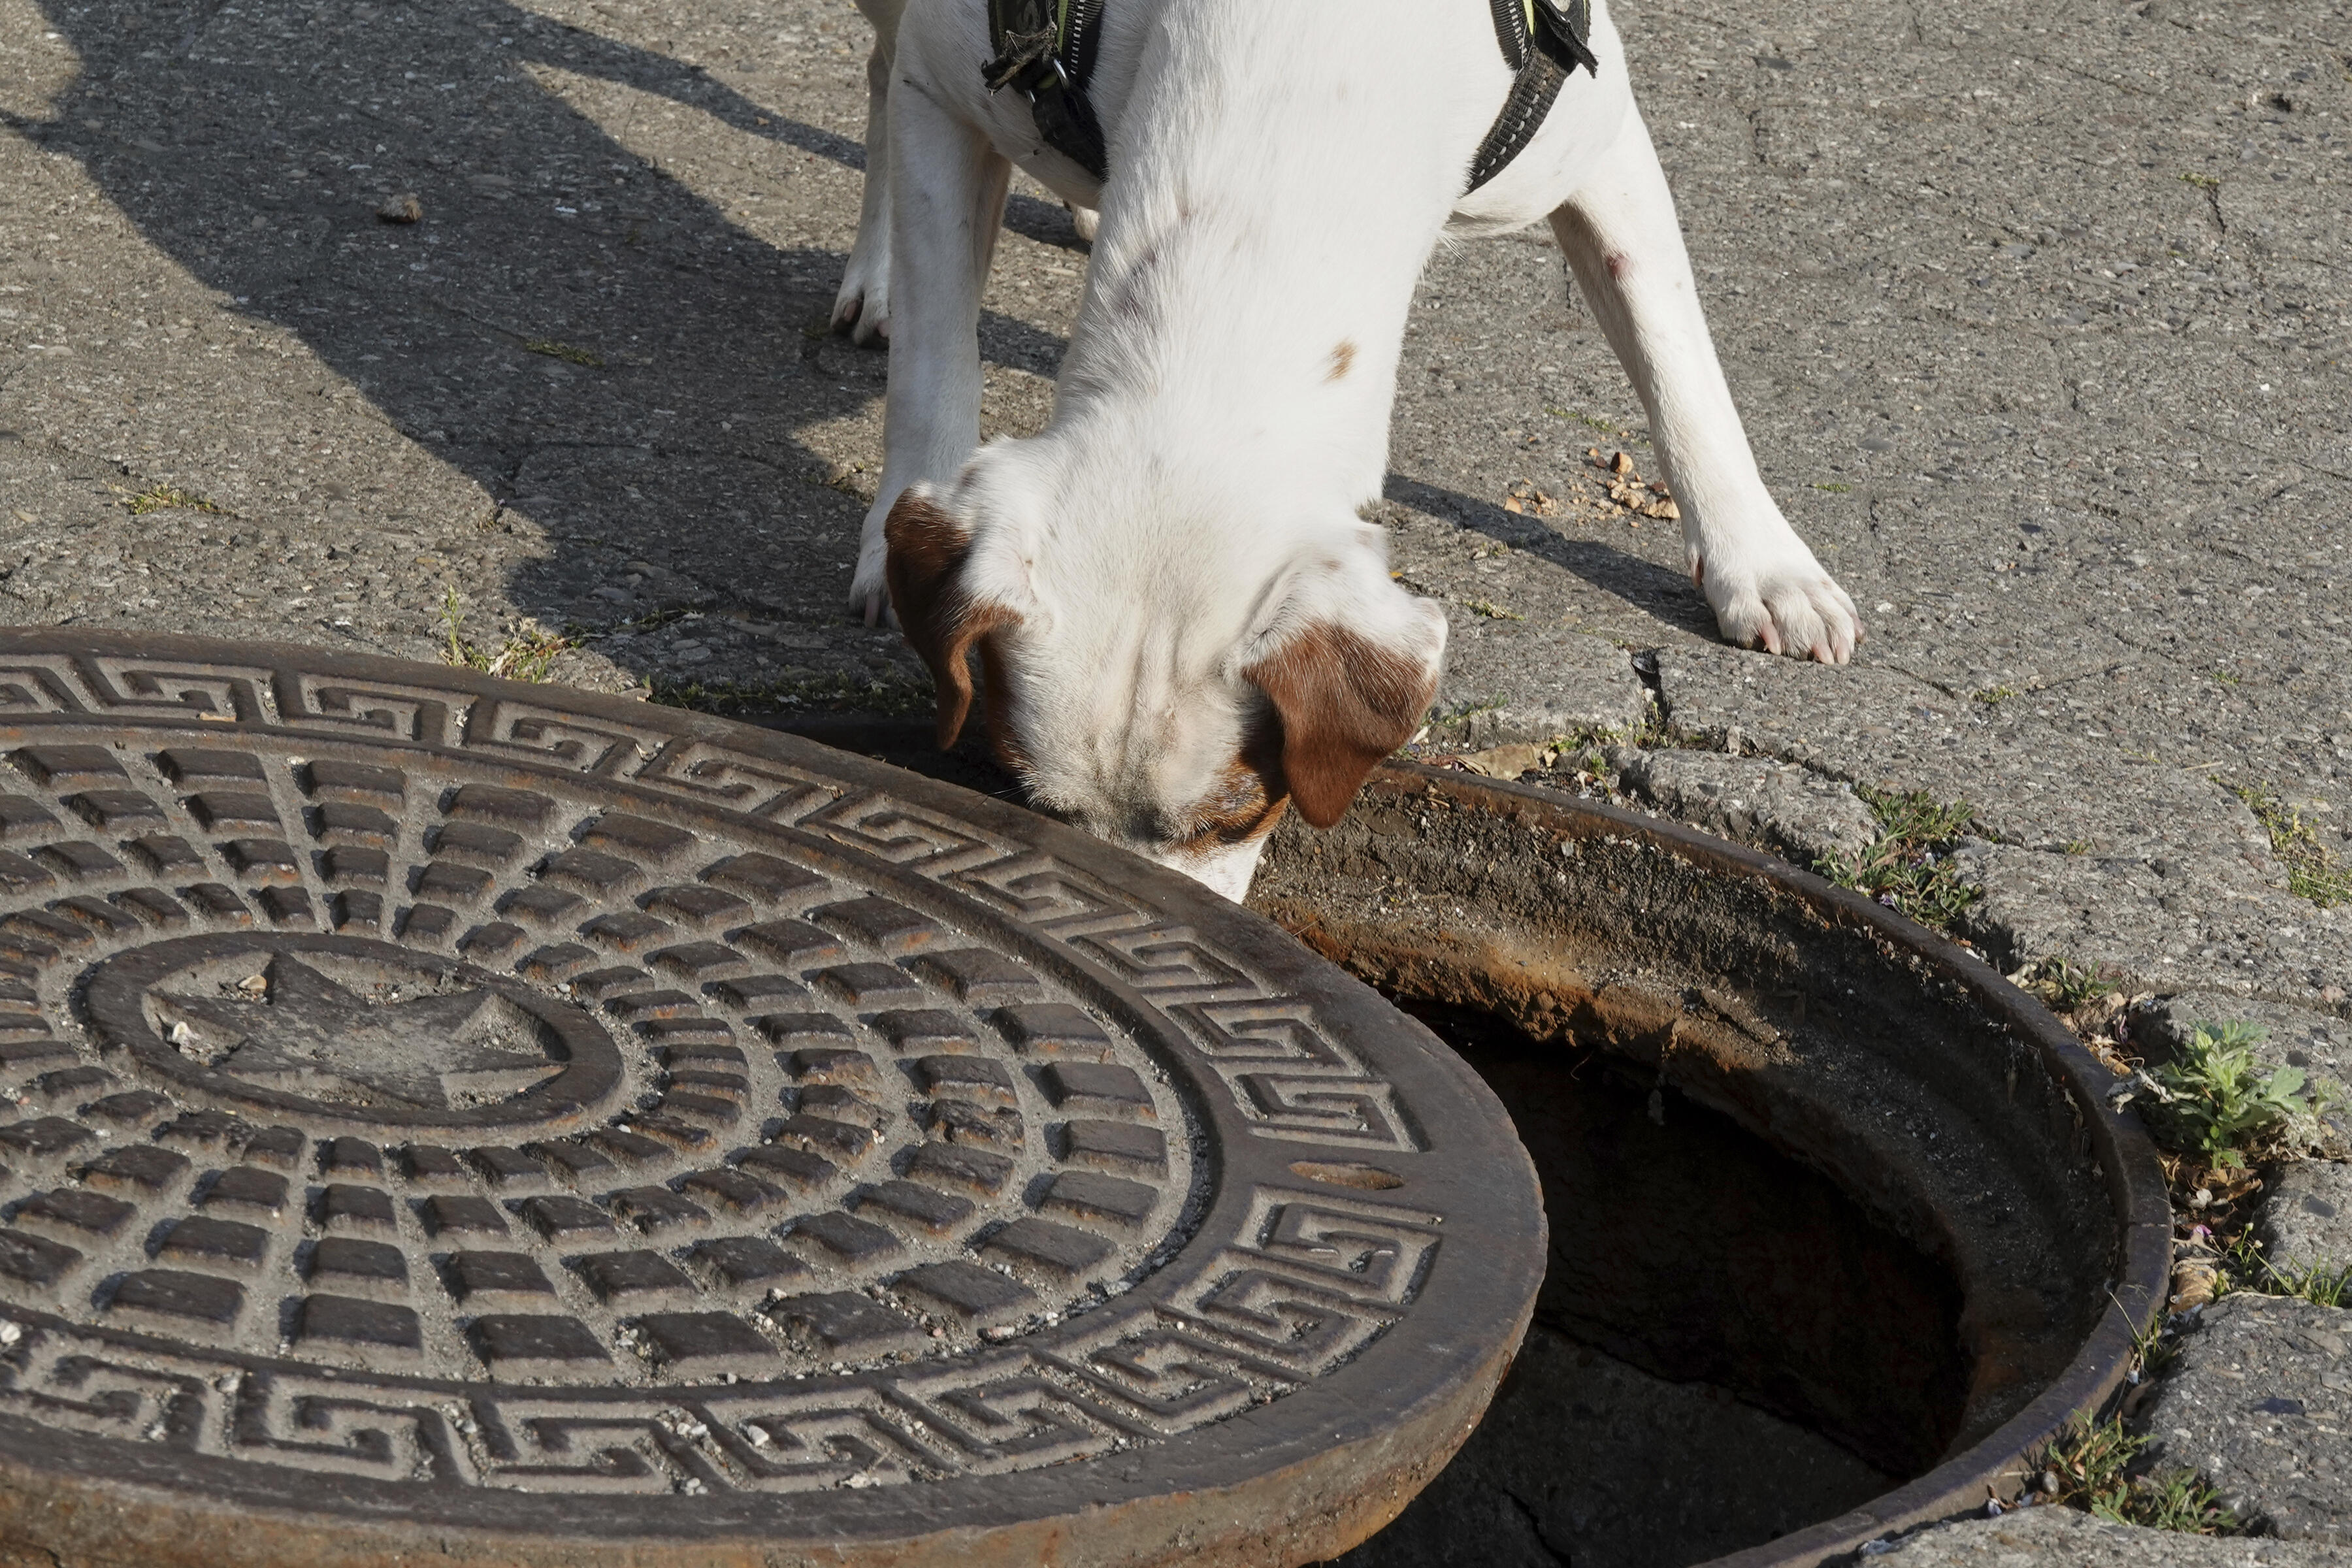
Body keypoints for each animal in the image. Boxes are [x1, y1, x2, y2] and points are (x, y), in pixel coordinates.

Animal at [828, 0, 1853, 893]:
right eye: (1027, 796)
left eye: (1235, 821)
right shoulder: (939, 90)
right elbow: (934, 363)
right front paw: (885, 537)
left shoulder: (1602, 145)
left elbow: (1680, 362)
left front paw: (1763, 565)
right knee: (879, 78)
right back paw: (876, 278)